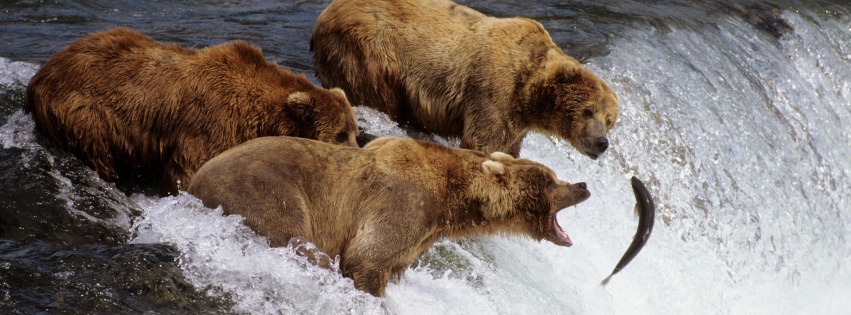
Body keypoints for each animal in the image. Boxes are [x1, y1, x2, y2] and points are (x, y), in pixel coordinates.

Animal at [25, 27, 360, 195]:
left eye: (355, 132)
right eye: (339, 134)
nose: (358, 155)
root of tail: (40, 74)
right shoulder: (210, 125)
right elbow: (189, 172)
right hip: (82, 111)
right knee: (97, 151)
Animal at [189, 137, 592, 298]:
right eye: (551, 180)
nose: (583, 184)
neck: (451, 201)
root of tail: (191, 183)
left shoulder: (420, 235)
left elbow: (393, 263)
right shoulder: (402, 203)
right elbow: (367, 256)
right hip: (266, 191)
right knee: (297, 240)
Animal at [312, 0, 620, 159]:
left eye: (609, 120)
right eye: (588, 110)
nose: (601, 143)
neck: (530, 94)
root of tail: (325, 13)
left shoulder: (517, 121)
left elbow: (509, 148)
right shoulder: (494, 90)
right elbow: (482, 142)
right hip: (369, 51)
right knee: (377, 95)